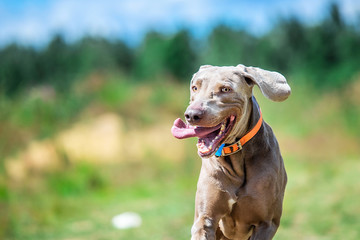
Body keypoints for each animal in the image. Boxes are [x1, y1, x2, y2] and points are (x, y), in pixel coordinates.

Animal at [170, 64, 292, 240]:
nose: (192, 115)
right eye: (195, 88)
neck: (236, 157)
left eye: (225, 89)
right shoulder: (205, 218)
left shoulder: (267, 224)